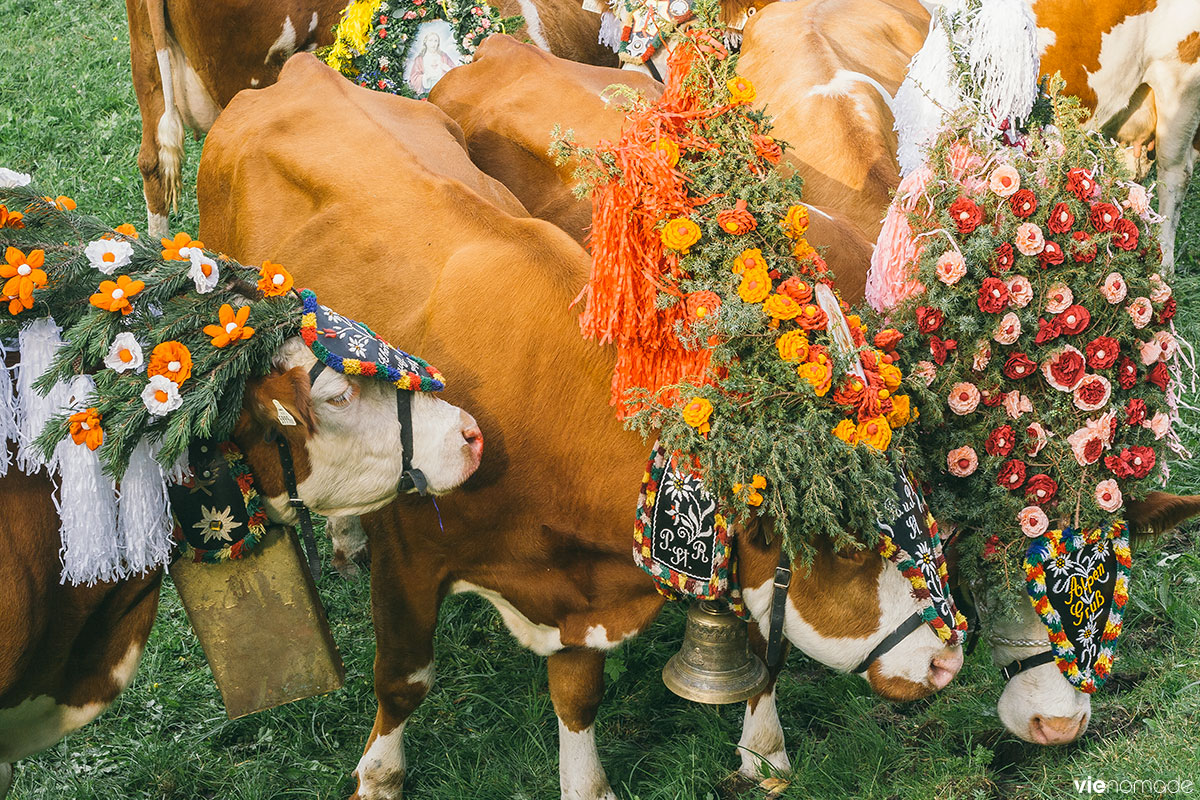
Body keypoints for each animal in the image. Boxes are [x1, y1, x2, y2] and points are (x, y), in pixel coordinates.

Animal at [196, 53, 960, 796]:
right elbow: (403, 680)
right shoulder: (409, 557)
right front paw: (378, 778)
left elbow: (578, 695)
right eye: (850, 548)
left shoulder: (577, 589)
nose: (948, 665)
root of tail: (300, 68)